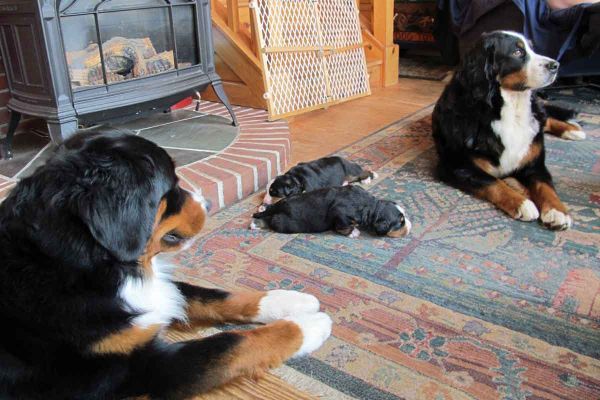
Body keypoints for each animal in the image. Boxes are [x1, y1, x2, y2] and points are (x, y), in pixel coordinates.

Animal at [0, 130, 332, 398]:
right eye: (170, 186)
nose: (208, 204)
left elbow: (217, 296)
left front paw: (289, 301)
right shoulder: (140, 368)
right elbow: (230, 343)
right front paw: (307, 326)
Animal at [251, 186, 410, 239]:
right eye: (400, 223)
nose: (410, 227)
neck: (369, 205)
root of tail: (280, 206)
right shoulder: (341, 215)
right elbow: (343, 227)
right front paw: (354, 232)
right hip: (285, 224)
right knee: (271, 221)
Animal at [428, 30, 584, 231]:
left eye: (532, 48)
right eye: (517, 52)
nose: (555, 65)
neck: (510, 108)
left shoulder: (534, 163)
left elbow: (545, 186)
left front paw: (557, 211)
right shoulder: (456, 164)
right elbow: (492, 181)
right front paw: (522, 203)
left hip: (538, 114)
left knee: (546, 117)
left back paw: (572, 130)